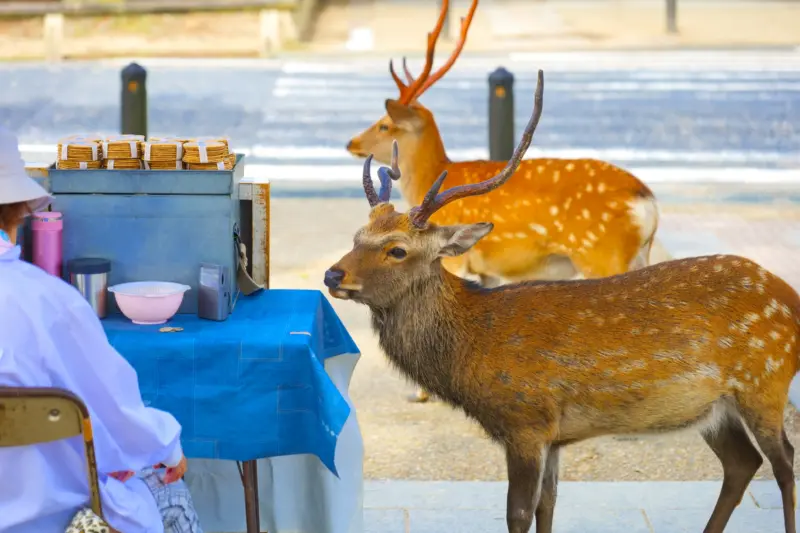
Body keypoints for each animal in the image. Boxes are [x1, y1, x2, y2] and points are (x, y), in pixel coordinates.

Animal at [324, 70, 800, 532]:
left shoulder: (526, 420)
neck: (470, 350)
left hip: (764, 381)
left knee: (784, 462)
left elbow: (518, 512)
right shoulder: (554, 435)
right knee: (742, 462)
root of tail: (790, 299)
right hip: (714, 407)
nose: (332, 274)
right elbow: (548, 505)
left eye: (397, 249)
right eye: (357, 237)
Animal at [346, 0, 664, 404]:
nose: (351, 142)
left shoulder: (462, 259)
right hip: (638, 255)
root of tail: (647, 201)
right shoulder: (490, 271)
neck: (435, 175)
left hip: (602, 255)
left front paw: (421, 393)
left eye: (385, 124)